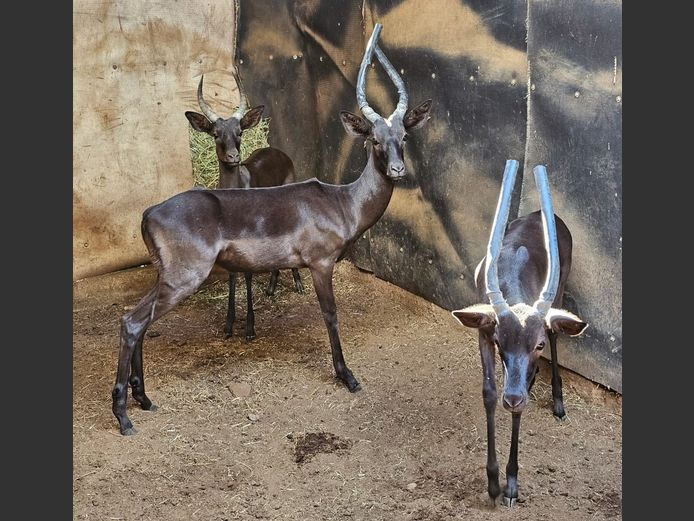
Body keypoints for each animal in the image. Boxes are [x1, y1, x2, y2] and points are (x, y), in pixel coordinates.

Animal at [185, 73, 304, 342]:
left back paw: (299, 285)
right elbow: (232, 275)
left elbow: (247, 274)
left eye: (239, 131)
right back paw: (270, 287)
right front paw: (229, 325)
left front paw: (250, 328)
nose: (233, 157)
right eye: (216, 133)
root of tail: (277, 150)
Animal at [451, 161, 587, 506]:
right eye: (500, 341)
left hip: (563, 286)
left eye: (536, 345)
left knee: (557, 335)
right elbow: (488, 392)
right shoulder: (484, 333)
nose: (511, 398)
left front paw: (511, 487)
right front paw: (492, 483)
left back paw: (558, 404)